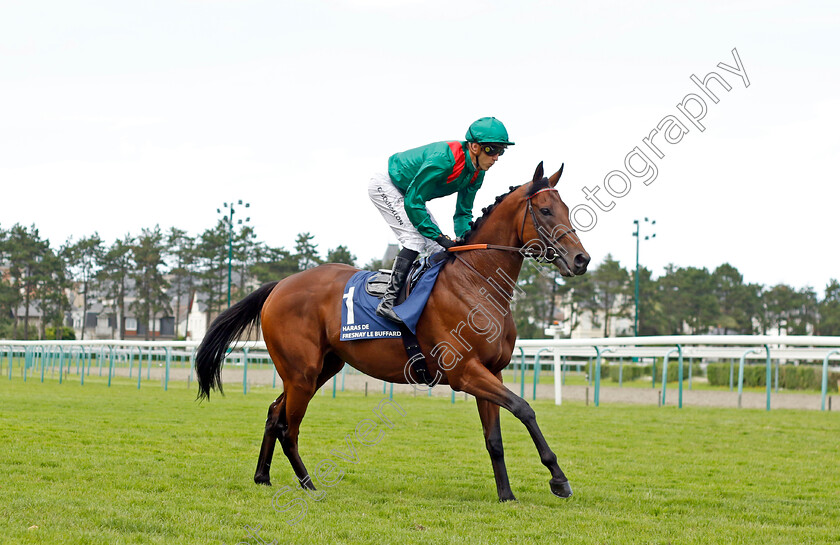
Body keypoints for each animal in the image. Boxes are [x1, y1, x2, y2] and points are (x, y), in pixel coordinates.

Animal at [196, 162, 592, 502]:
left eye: (566, 208)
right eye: (545, 211)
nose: (581, 259)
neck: (477, 281)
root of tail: (279, 285)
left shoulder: (491, 371)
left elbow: (494, 438)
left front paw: (506, 495)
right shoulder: (464, 372)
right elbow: (525, 409)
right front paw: (559, 479)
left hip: (320, 369)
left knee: (274, 413)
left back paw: (262, 476)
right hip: (302, 372)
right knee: (287, 427)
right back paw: (308, 484)